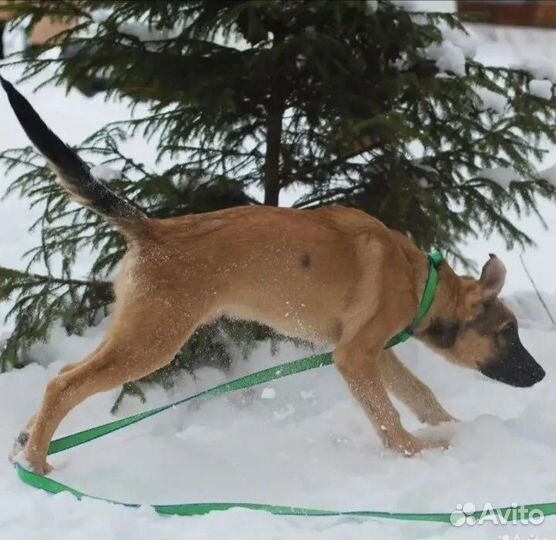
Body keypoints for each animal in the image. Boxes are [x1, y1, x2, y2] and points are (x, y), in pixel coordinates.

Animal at [2, 78, 544, 474]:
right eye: (506, 332)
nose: (540, 375)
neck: (419, 282)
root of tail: (156, 230)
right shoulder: (354, 356)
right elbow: (388, 415)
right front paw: (417, 450)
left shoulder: (375, 353)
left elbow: (421, 395)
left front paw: (456, 429)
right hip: (153, 340)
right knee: (63, 386)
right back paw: (38, 463)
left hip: (134, 328)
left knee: (65, 376)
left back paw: (26, 444)